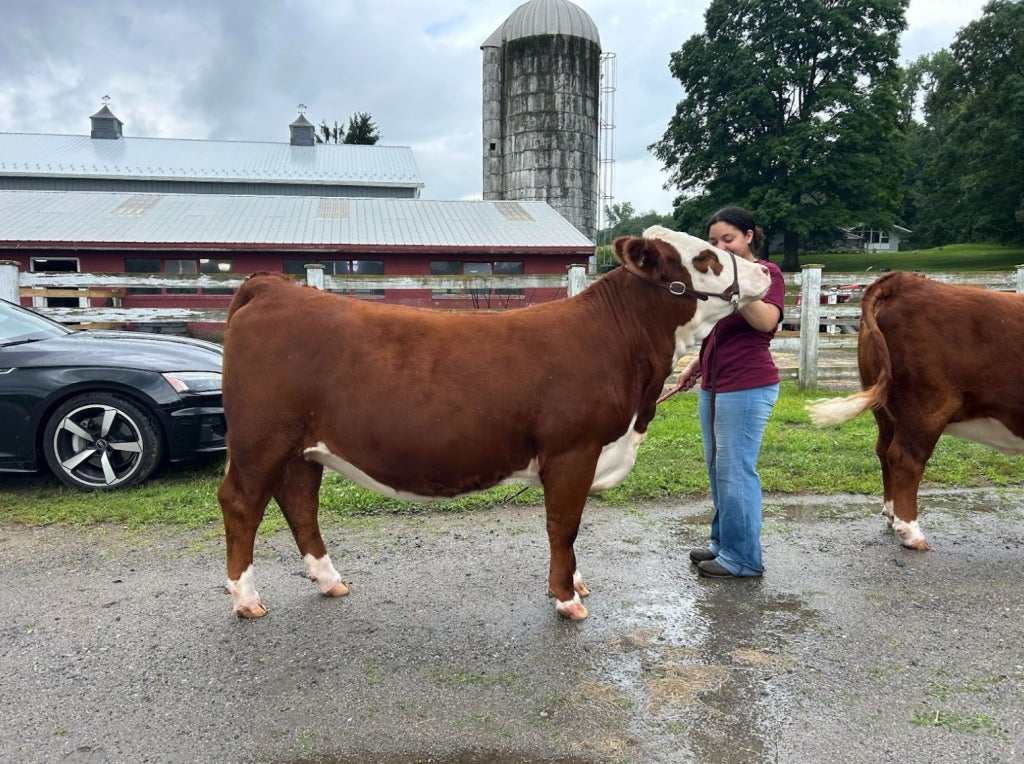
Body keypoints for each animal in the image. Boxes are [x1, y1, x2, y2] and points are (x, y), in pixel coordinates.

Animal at [216, 226, 771, 619]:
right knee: (243, 503)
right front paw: (567, 598)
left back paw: (329, 580)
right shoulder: (573, 450)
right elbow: (564, 525)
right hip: (259, 440)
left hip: (303, 446)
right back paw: (245, 598)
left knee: (298, 501)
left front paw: (576, 582)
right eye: (706, 257)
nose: (766, 271)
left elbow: (569, 529)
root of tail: (272, 288)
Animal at [808, 270, 1024, 550]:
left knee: (883, 450)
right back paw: (911, 533)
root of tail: (905, 280)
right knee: (905, 459)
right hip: (926, 407)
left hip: (884, 407)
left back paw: (892, 514)